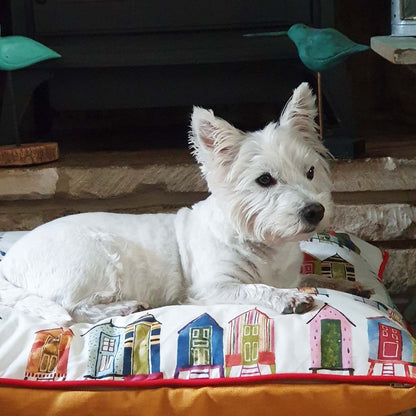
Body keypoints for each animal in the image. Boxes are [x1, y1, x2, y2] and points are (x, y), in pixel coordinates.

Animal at [0, 83, 334, 324]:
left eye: (310, 172)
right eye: (264, 180)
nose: (315, 211)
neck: (266, 245)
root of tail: (7, 264)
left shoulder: (292, 274)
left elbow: (317, 278)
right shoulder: (213, 287)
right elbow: (256, 288)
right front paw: (289, 298)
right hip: (93, 262)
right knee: (71, 307)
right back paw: (121, 308)